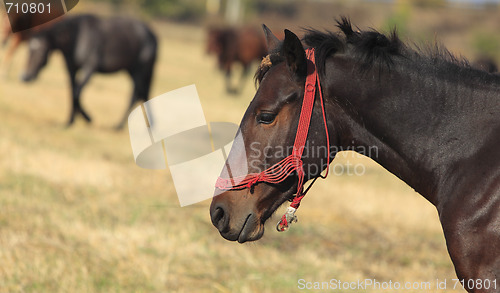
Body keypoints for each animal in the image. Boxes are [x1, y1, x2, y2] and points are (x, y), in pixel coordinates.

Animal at [20, 13, 157, 128]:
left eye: (41, 51)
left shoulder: (89, 68)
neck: (78, 37)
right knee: (140, 93)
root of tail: (152, 35)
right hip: (132, 71)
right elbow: (72, 92)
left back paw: (122, 126)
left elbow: (77, 92)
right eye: (28, 50)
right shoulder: (72, 69)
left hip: (140, 70)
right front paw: (70, 121)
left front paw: (88, 118)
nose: (25, 77)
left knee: (137, 93)